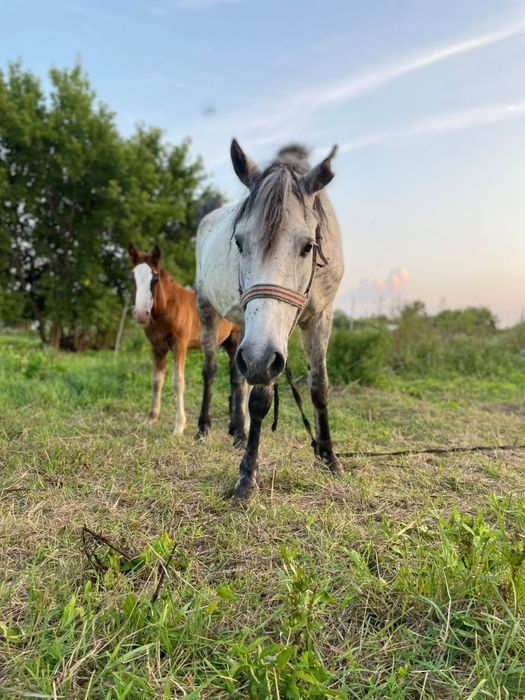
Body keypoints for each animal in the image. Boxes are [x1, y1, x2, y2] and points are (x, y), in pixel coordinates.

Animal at [128, 244, 242, 437]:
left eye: (155, 279)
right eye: (132, 278)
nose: (141, 314)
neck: (165, 309)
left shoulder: (180, 345)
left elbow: (178, 382)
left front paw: (179, 426)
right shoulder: (157, 347)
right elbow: (156, 381)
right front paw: (150, 420)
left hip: (236, 340)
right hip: (227, 343)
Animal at [195, 141, 344, 499]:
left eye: (308, 246)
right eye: (238, 242)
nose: (259, 358)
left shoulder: (320, 319)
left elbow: (319, 386)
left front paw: (328, 457)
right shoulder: (263, 348)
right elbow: (260, 397)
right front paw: (247, 477)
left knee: (236, 375)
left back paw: (237, 432)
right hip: (208, 311)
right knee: (211, 369)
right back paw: (203, 427)